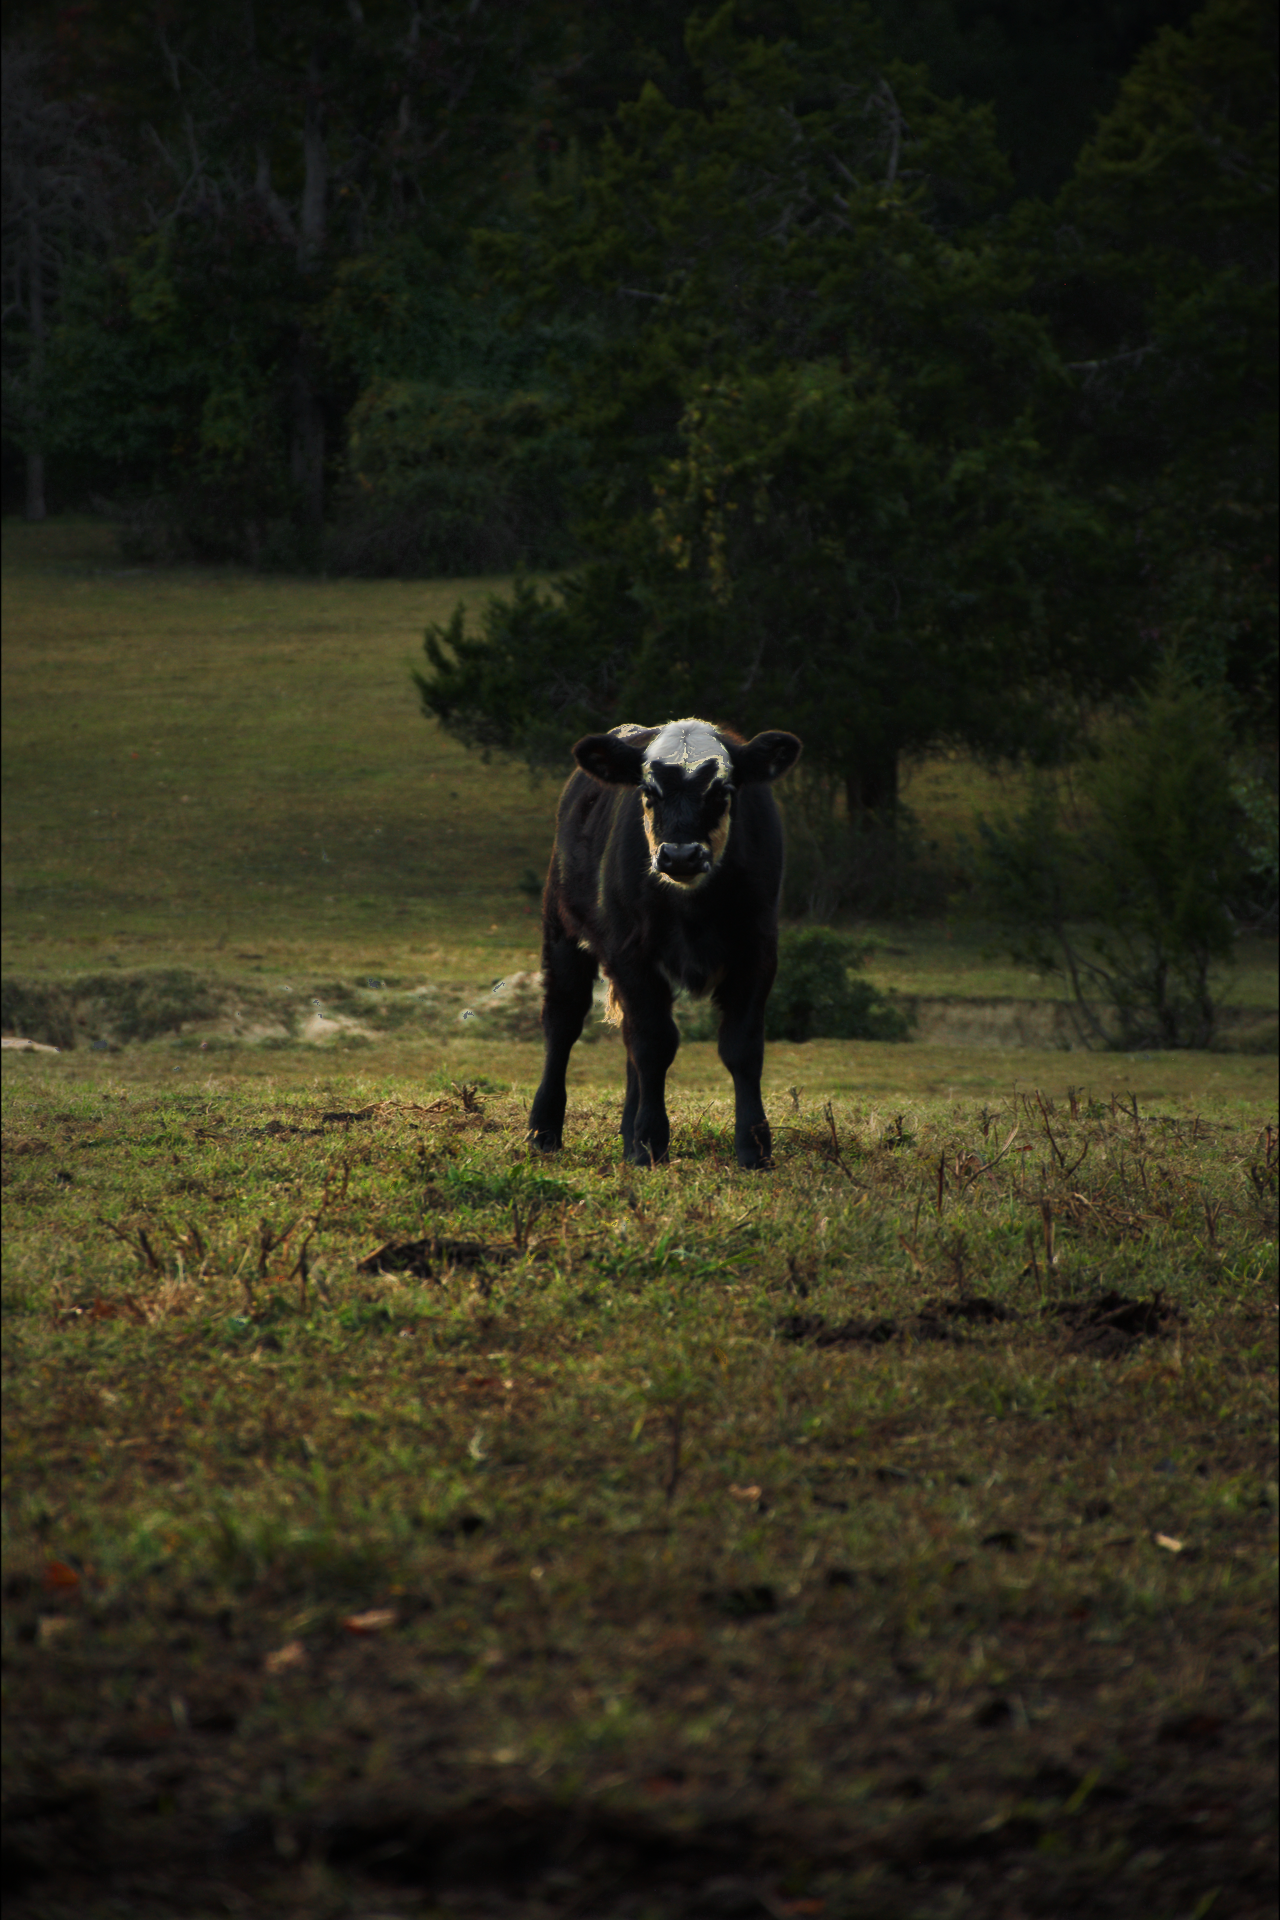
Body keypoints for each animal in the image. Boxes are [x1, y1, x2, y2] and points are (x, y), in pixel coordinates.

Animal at [528, 717, 802, 1169]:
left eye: (722, 792)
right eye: (649, 793)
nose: (680, 855)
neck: (693, 910)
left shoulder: (758, 951)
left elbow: (742, 1047)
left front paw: (754, 1146)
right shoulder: (630, 952)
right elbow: (654, 1044)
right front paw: (651, 1142)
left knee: (628, 1044)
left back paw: (626, 1132)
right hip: (562, 932)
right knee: (563, 1024)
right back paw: (543, 1130)